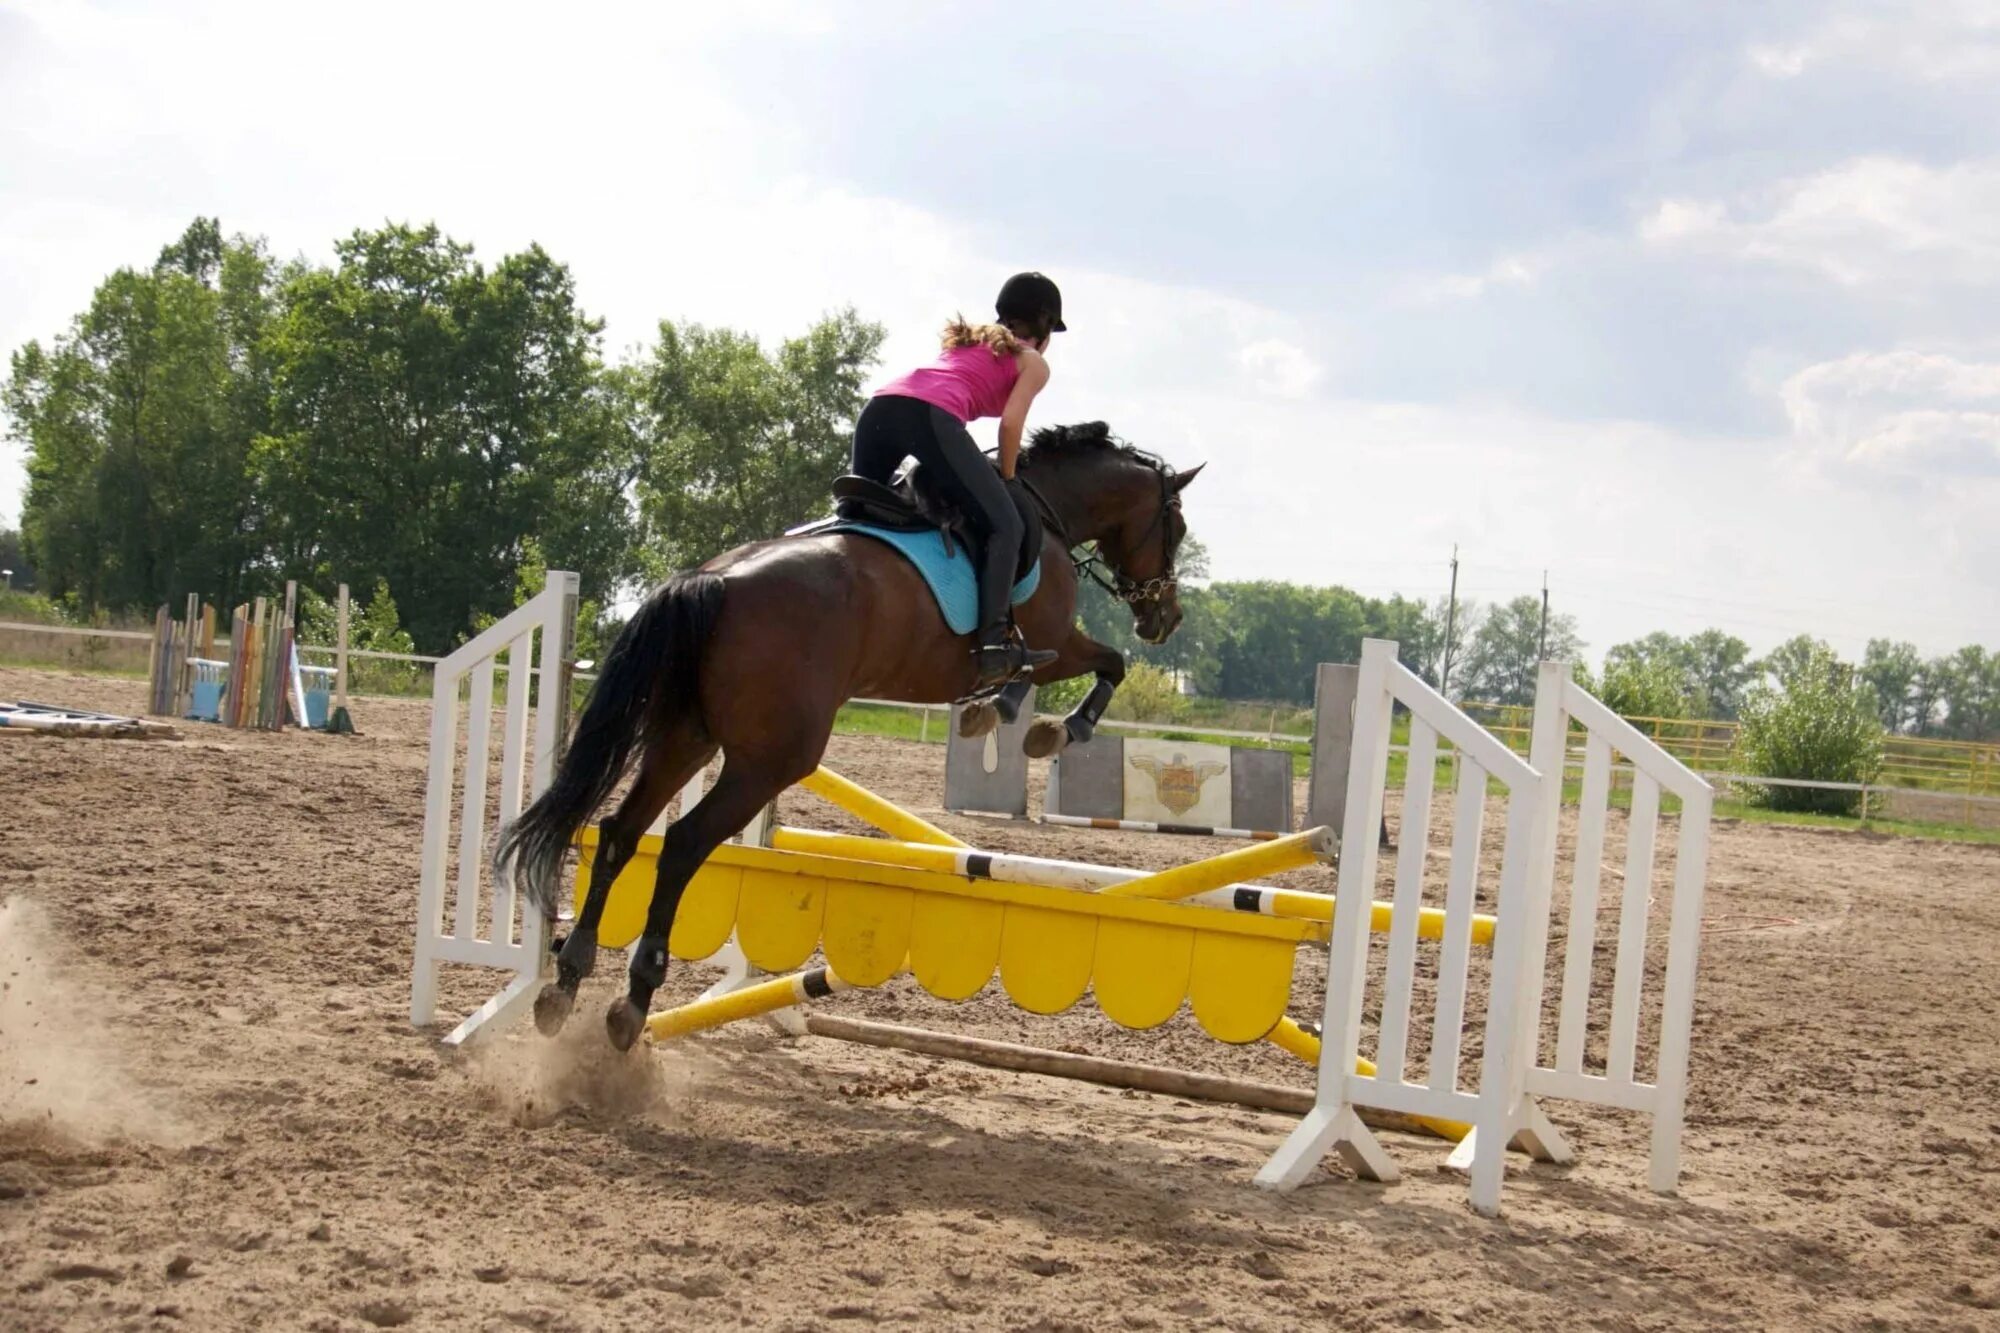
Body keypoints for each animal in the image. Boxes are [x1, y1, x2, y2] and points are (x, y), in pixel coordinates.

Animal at [496, 420, 1200, 1040]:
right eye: (1177, 527)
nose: (1164, 618)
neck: (1049, 513)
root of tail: (712, 579)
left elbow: (1068, 670)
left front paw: (1001, 713)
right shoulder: (1051, 638)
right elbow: (1100, 664)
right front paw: (1048, 727)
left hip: (687, 737)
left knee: (620, 832)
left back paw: (566, 984)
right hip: (770, 761)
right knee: (682, 845)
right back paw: (633, 1002)